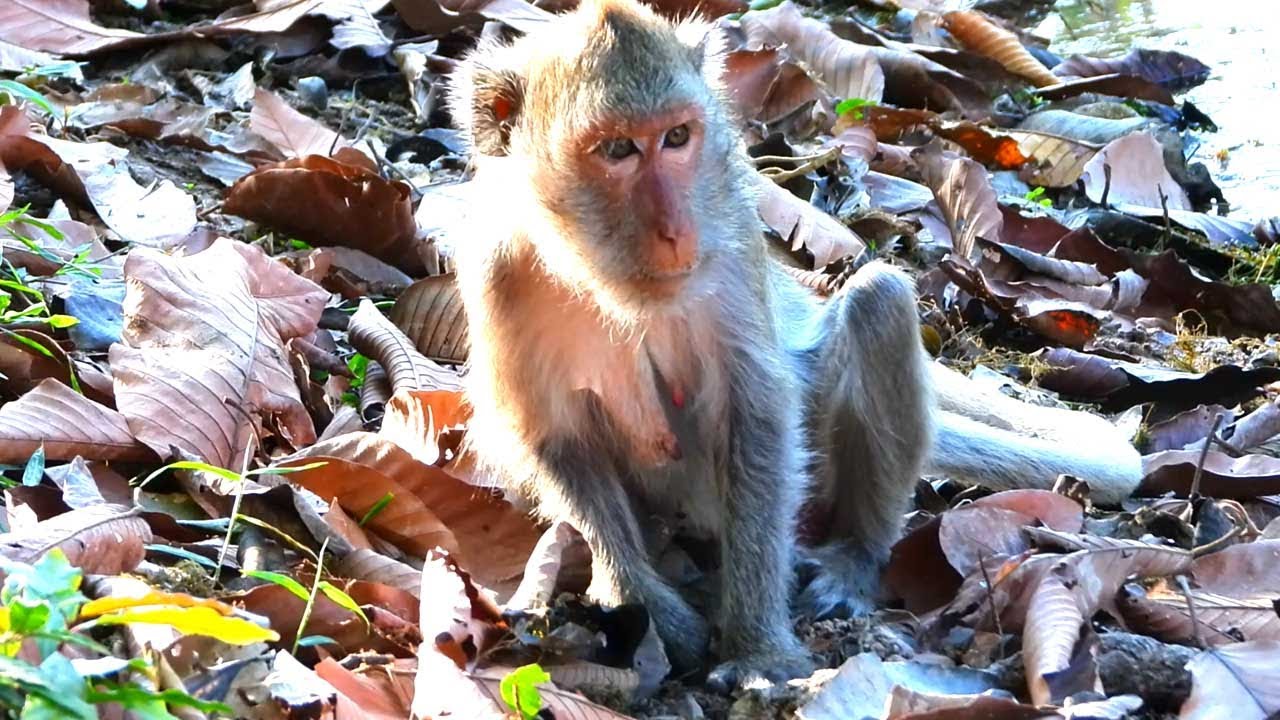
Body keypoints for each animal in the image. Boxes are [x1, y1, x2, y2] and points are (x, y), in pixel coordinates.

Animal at [445, 0, 1141, 691]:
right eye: (618, 149)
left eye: (677, 138)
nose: (676, 232)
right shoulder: (496, 275)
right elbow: (552, 436)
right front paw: (639, 598)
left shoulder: (730, 233)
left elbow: (754, 411)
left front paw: (758, 648)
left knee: (878, 302)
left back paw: (855, 557)